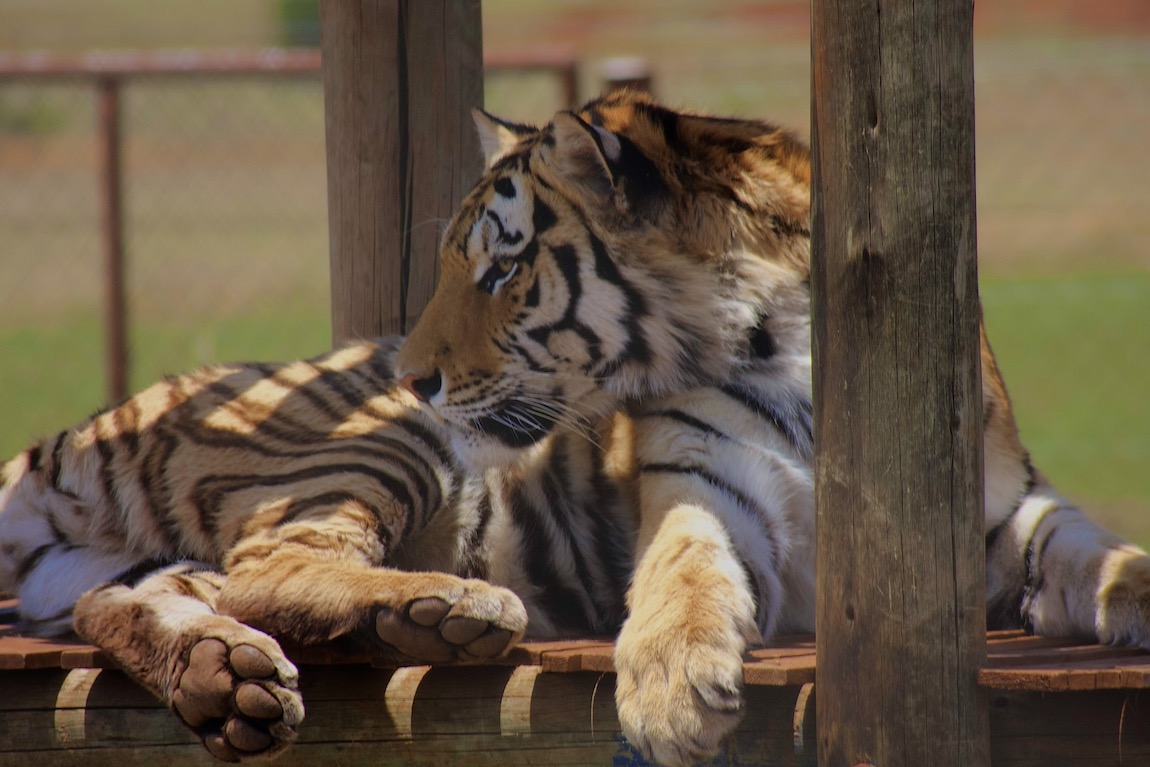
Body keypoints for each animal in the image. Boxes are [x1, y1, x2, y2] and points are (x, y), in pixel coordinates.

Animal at [0, 337, 634, 761]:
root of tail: (71, 437)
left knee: (117, 602)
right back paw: (454, 606)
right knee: (268, 572)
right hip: (391, 434)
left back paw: (221, 681)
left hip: (114, 566)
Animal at [392, 89, 1150, 766]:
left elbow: (1096, 552)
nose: (408, 377)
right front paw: (670, 695)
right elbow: (682, 563)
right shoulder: (705, 484)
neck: (790, 343)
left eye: (503, 270)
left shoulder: (1006, 508)